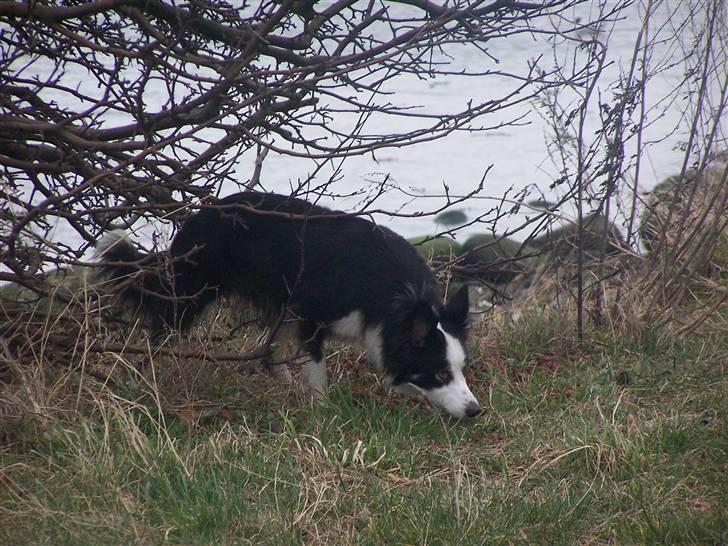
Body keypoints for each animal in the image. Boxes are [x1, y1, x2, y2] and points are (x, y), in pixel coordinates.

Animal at [95, 191, 484, 416]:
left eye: (462, 369)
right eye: (440, 373)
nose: (475, 411)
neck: (396, 295)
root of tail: (198, 216)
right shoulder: (312, 315)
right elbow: (317, 367)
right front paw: (322, 408)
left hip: (280, 307)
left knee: (270, 353)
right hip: (189, 294)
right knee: (159, 330)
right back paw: (147, 377)